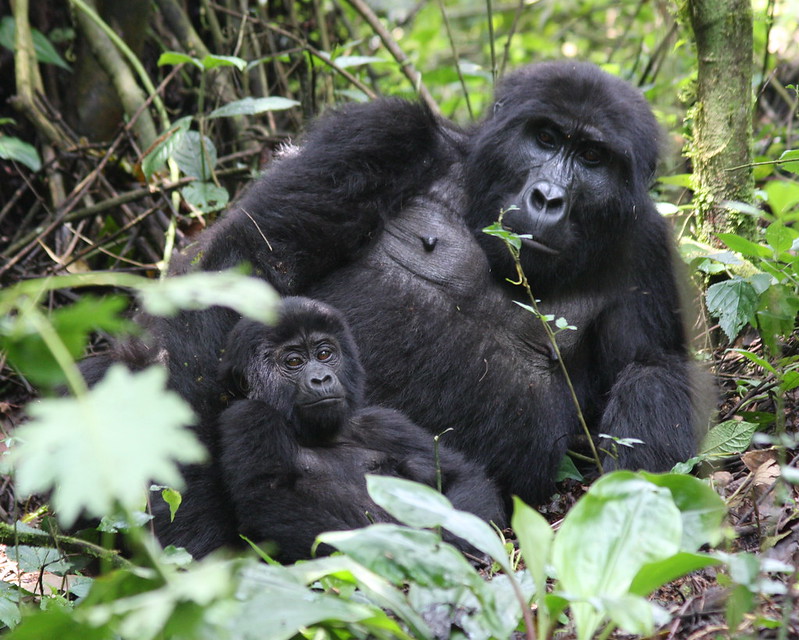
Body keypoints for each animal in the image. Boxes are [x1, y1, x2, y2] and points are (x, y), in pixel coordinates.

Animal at [217, 296, 506, 560]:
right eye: (293, 362)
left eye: (324, 354)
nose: (321, 378)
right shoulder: (249, 416)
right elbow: (269, 500)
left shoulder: (382, 422)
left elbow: (461, 475)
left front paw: (456, 544)